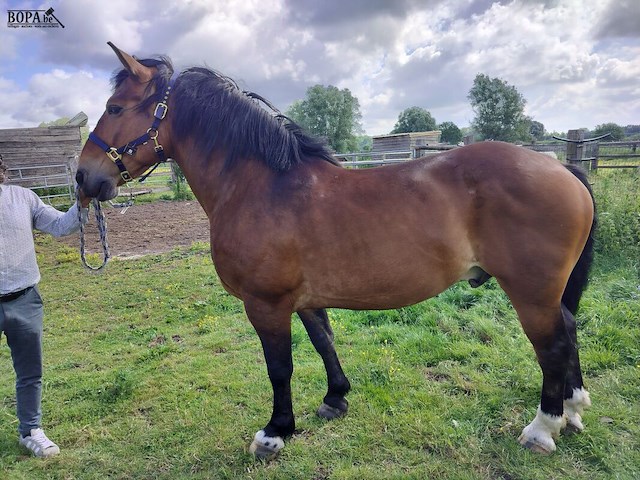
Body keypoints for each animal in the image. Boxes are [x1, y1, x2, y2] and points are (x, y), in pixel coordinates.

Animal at [76, 42, 596, 459]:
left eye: (116, 108)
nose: (84, 178)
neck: (262, 187)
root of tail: (562, 168)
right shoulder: (305, 299)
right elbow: (324, 341)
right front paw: (335, 398)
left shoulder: (266, 304)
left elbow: (279, 368)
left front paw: (275, 433)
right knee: (568, 330)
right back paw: (572, 409)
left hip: (530, 293)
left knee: (551, 345)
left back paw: (542, 428)